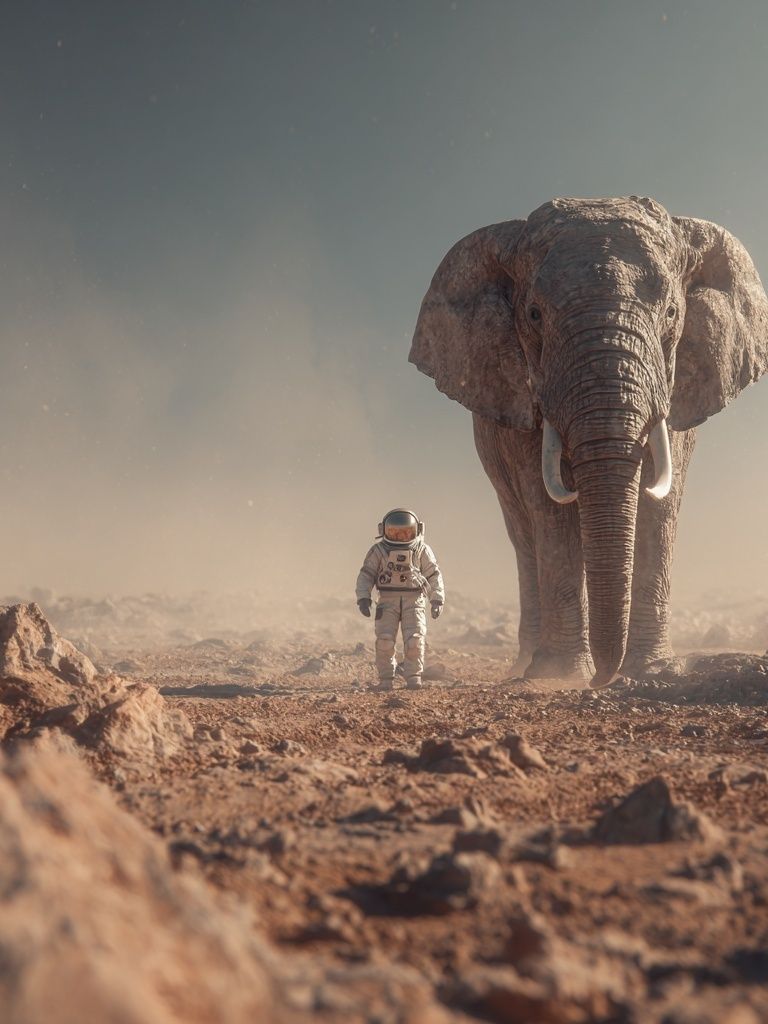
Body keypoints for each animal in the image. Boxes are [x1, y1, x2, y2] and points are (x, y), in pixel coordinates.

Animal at [410, 197, 768, 687]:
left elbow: (661, 502)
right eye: (534, 316)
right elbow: (549, 508)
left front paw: (653, 670)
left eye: (671, 314)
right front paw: (558, 674)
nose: (602, 679)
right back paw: (527, 665)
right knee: (524, 537)